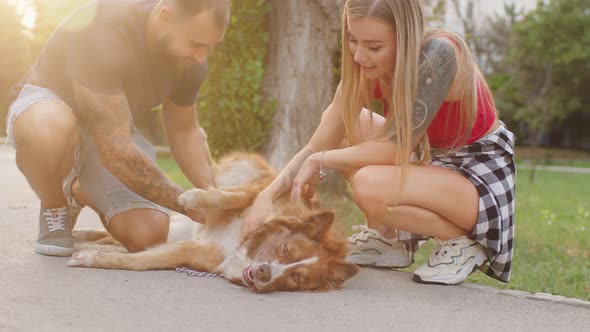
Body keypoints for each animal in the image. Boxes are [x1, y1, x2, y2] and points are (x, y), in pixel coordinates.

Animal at [66, 152, 358, 292]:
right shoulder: (261, 191)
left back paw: (82, 241)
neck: (242, 245)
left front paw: (95, 258)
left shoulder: (191, 251)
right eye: (286, 249)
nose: (264, 274)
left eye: (296, 278)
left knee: (120, 243)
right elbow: (232, 196)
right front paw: (193, 197)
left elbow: (141, 261)